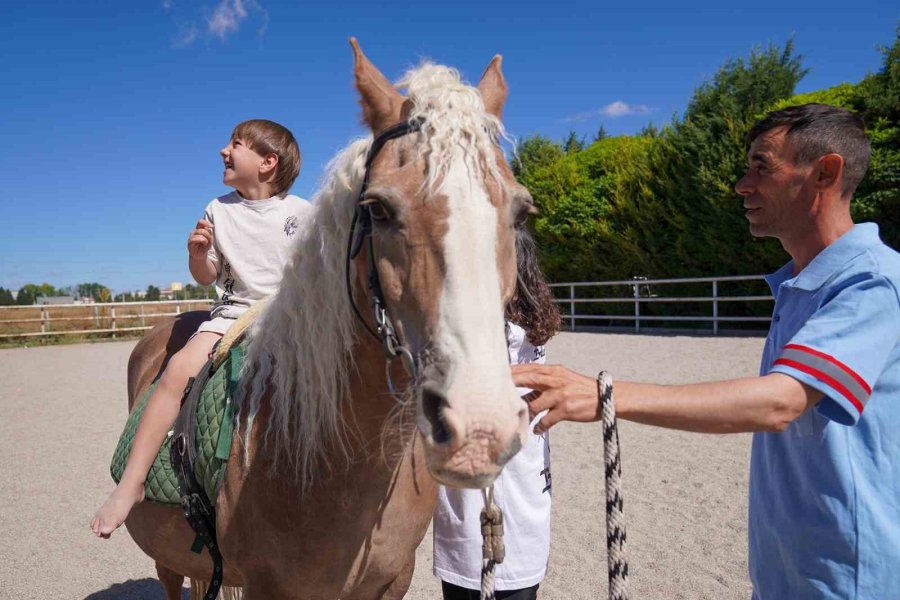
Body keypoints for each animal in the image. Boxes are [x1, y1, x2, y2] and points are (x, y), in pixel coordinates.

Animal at [121, 39, 536, 596]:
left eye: (521, 212)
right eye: (379, 209)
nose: (478, 428)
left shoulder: (391, 581)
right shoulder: (267, 586)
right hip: (167, 559)